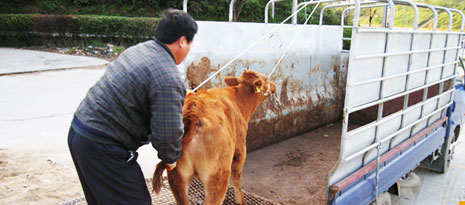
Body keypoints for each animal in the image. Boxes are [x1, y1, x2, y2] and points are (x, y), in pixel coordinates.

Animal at [152, 70, 276, 203]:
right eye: (266, 79)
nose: (274, 85)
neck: (238, 99)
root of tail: (193, 113)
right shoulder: (240, 152)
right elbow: (237, 180)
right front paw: (241, 201)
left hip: (177, 177)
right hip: (218, 175)